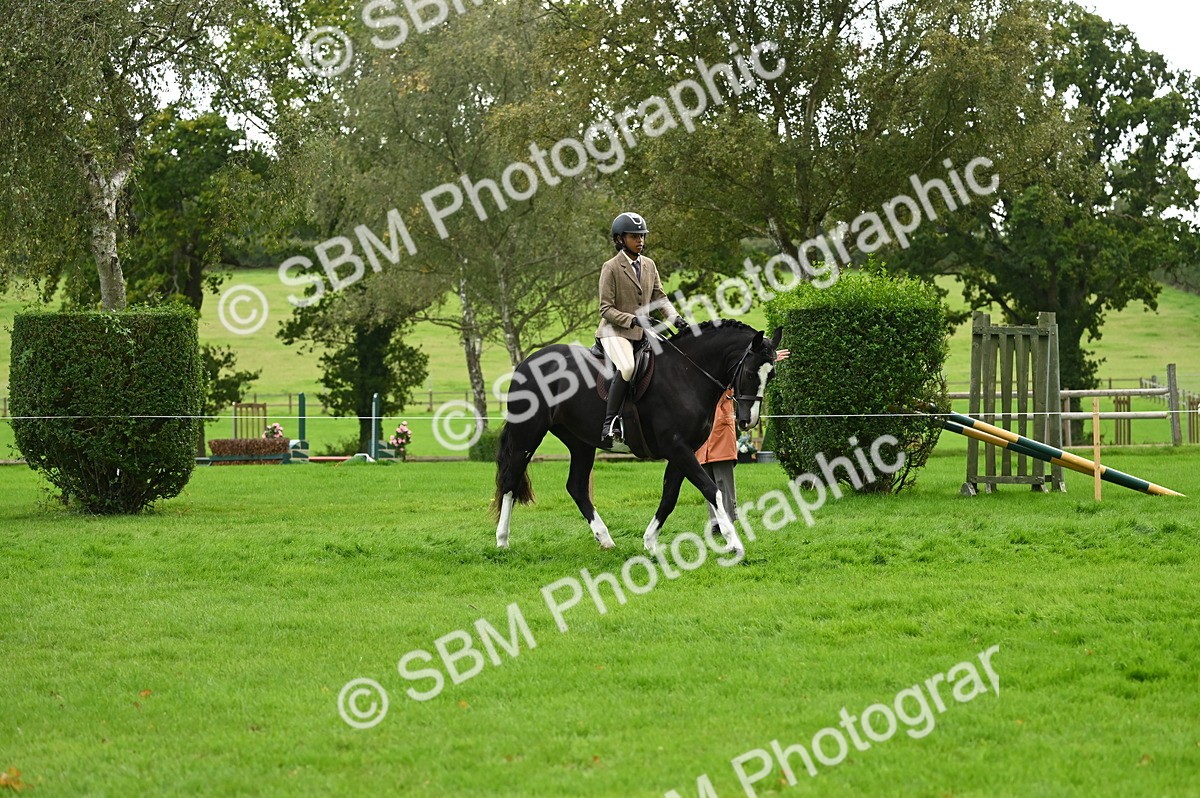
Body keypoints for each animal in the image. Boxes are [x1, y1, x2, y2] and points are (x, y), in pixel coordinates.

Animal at [492, 319, 783, 558]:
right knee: (510, 481)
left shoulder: (682, 451)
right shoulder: (678, 448)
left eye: (772, 375)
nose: (748, 421)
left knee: (576, 486)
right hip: (527, 434)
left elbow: (669, 497)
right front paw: (735, 544)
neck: (686, 373)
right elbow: (712, 489)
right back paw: (502, 541)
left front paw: (650, 542)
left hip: (580, 442)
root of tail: (526, 363)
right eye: (749, 373)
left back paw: (605, 539)